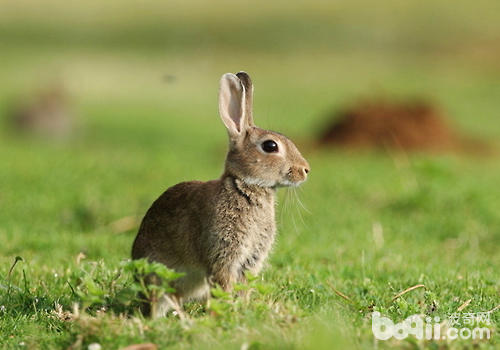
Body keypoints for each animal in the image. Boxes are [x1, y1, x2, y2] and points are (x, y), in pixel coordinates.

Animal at [132, 71, 312, 318]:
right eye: (270, 146)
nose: (305, 170)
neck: (244, 186)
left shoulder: (249, 261)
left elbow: (244, 288)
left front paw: (242, 310)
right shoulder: (223, 255)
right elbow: (224, 285)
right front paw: (227, 312)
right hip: (159, 276)